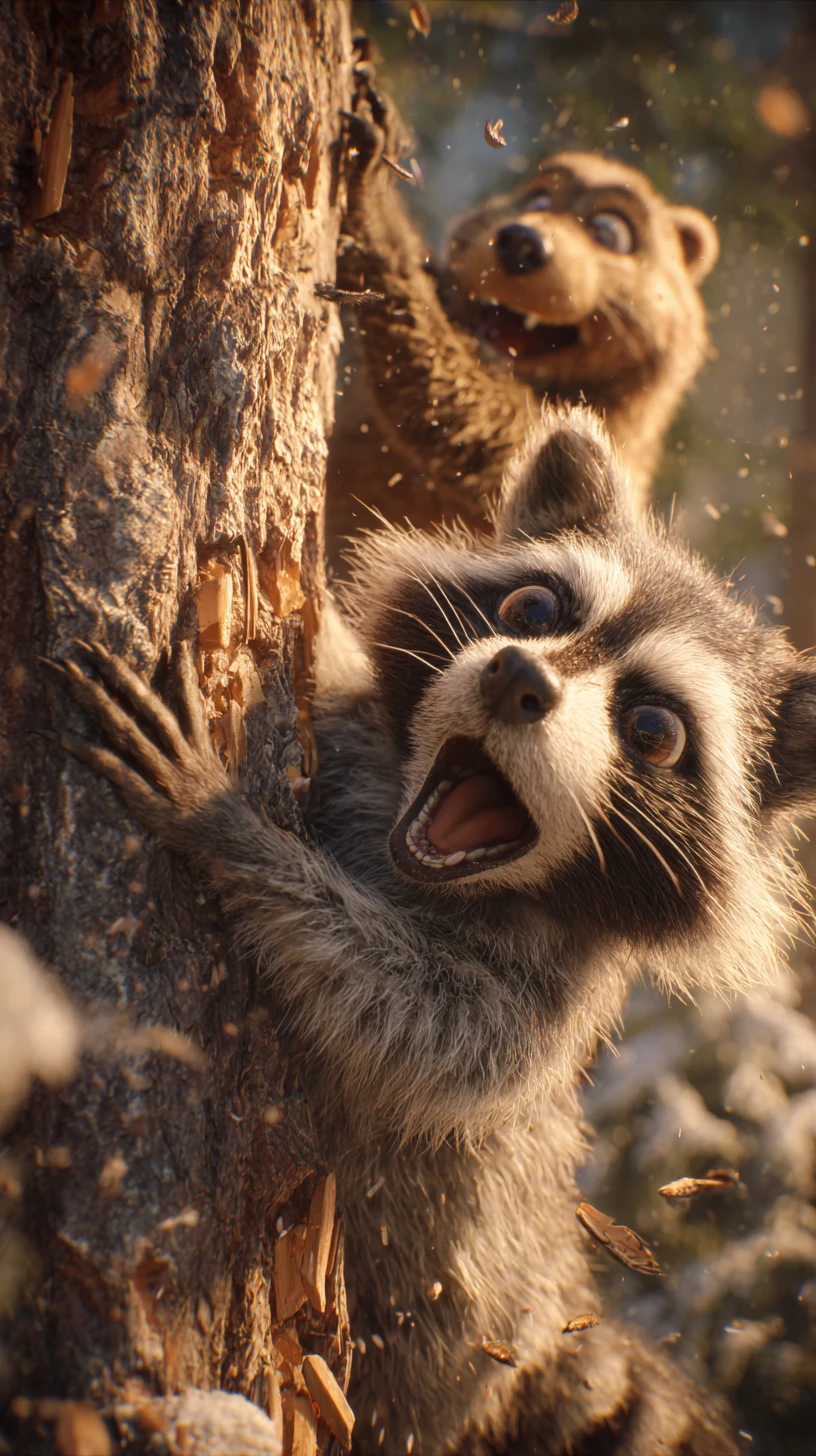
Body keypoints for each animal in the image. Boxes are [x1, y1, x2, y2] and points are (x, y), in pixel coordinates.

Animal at [63, 408, 816, 1455]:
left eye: (654, 731)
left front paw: (232, 831)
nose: (516, 676)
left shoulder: (549, 1008)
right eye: (536, 608)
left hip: (444, 1344)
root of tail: (548, 1308)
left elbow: (434, 1034)